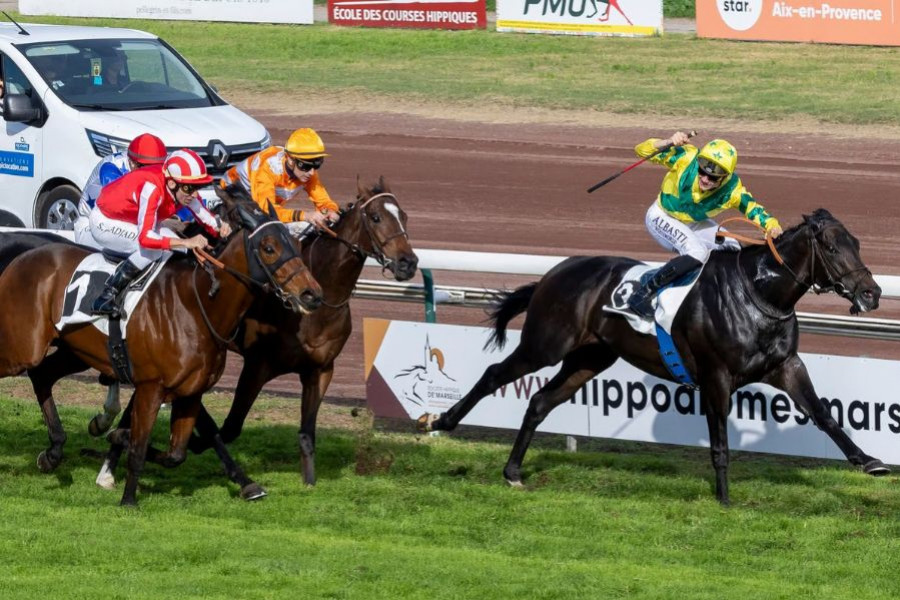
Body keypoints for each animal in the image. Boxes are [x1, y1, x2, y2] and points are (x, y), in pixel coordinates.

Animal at [0, 195, 324, 504]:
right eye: (269, 248)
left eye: (295, 244)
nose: (312, 294)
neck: (196, 308)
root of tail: (19, 260)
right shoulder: (150, 387)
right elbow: (141, 448)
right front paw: (128, 499)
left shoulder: (191, 392)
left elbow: (175, 454)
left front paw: (116, 437)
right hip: (23, 347)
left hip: (73, 351)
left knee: (42, 375)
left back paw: (53, 452)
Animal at [420, 209, 884, 504]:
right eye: (831, 246)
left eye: (858, 243)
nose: (872, 293)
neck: (759, 292)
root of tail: (555, 272)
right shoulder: (716, 376)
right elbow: (720, 443)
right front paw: (724, 499)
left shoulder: (786, 366)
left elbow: (823, 415)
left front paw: (869, 462)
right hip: (546, 344)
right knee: (495, 374)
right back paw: (441, 421)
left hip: (589, 358)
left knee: (538, 402)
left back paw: (513, 472)